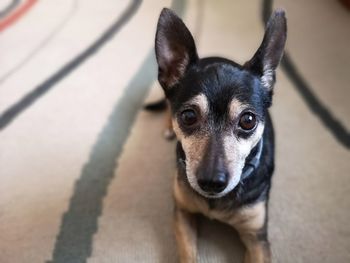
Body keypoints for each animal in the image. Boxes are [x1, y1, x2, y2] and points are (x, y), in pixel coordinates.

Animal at [148, 7, 288, 262]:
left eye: (248, 121)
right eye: (188, 116)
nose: (212, 183)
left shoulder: (257, 238)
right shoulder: (182, 212)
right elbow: (188, 254)